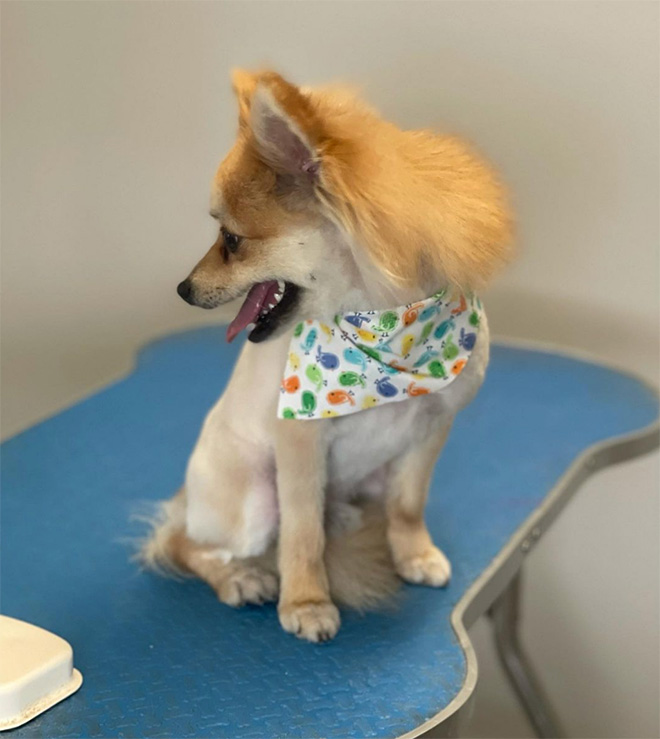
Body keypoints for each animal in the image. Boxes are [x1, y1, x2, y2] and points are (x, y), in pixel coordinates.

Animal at [138, 68, 510, 640]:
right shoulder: (298, 440)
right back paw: (240, 578)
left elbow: (408, 505)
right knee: (184, 544)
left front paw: (414, 554)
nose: (183, 288)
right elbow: (302, 532)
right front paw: (307, 602)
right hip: (252, 497)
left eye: (230, 240)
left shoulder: (432, 426)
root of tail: (188, 498)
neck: (388, 332)